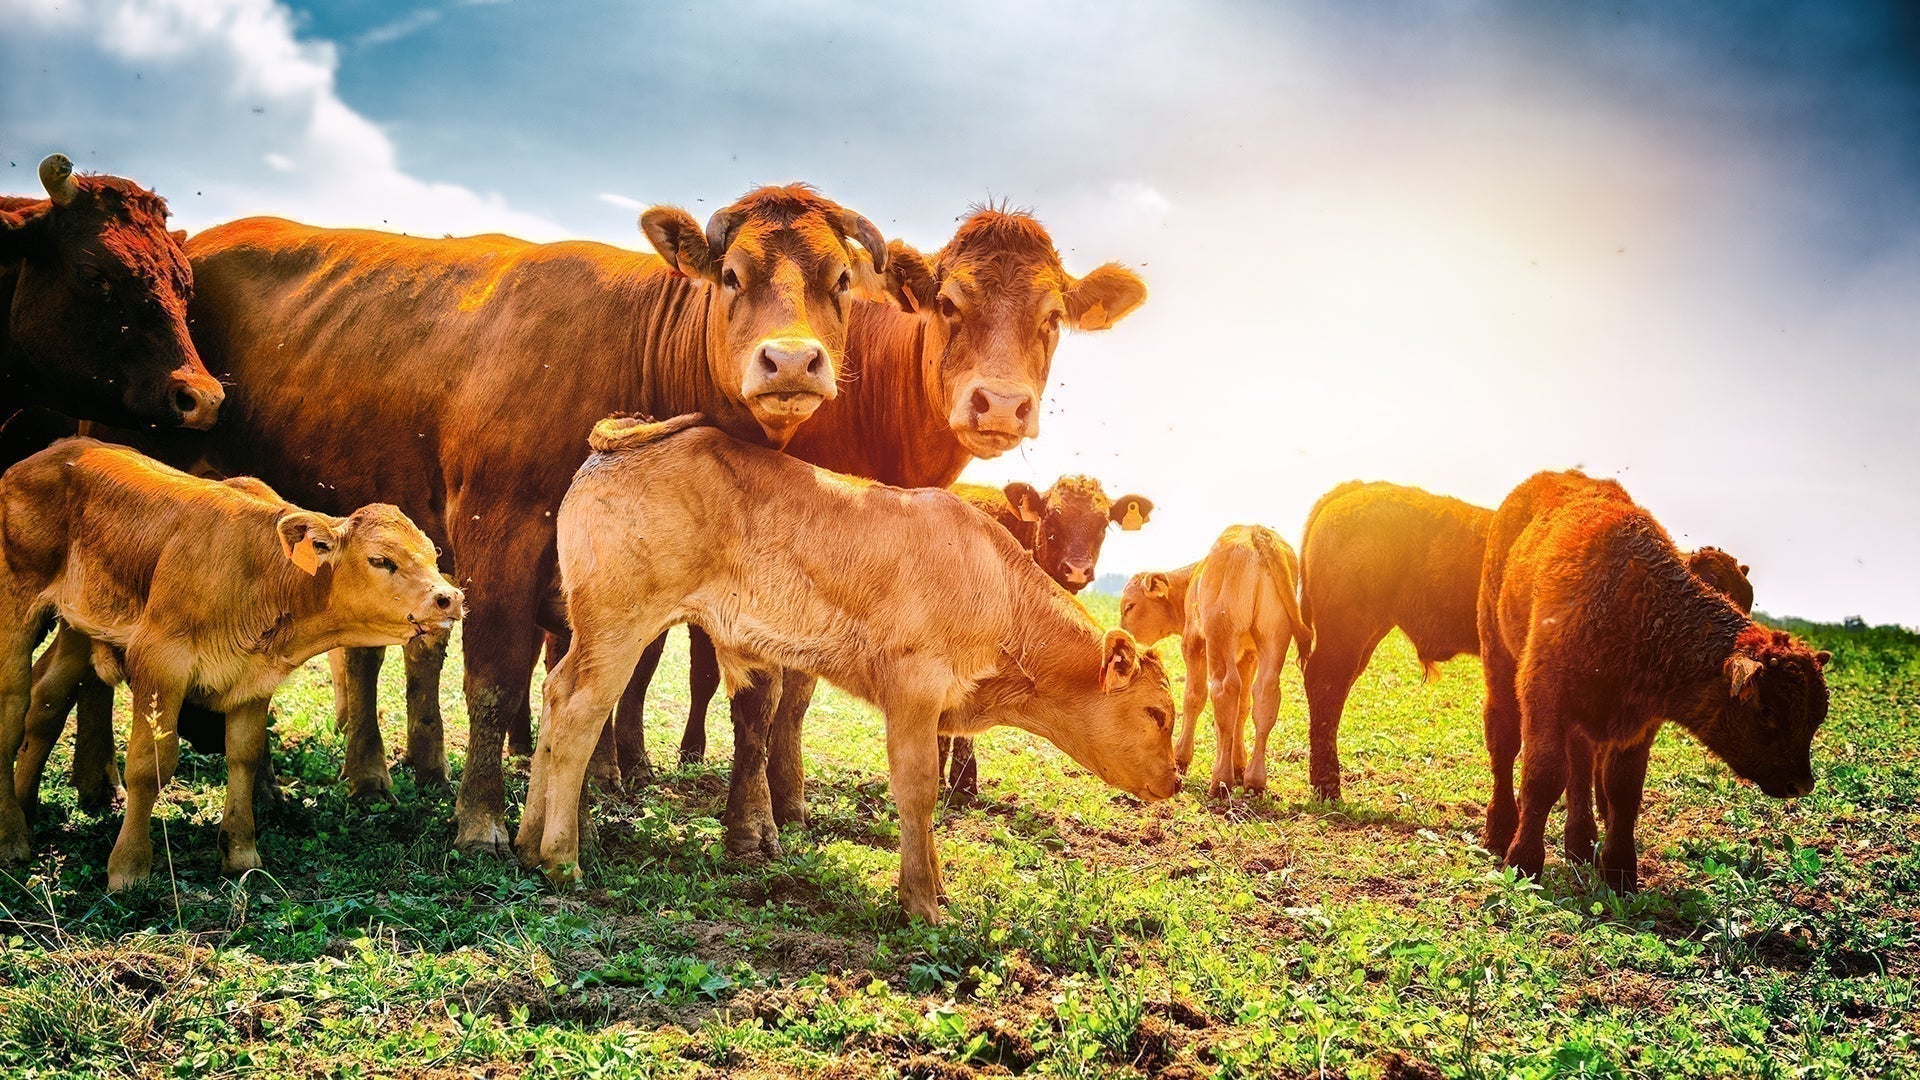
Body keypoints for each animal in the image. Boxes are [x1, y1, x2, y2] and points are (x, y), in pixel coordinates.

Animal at [0, 439, 461, 887]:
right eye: (380, 560)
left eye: (433, 557)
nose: (449, 598)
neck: (254, 570)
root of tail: (43, 457)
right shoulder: (158, 663)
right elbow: (149, 765)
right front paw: (128, 867)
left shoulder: (255, 680)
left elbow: (243, 757)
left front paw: (240, 853)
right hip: (16, 614)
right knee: (12, 711)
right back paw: (11, 837)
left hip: (78, 627)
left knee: (45, 703)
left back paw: (25, 809)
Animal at [1120, 525, 1312, 797]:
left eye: (1129, 605)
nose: (1123, 637)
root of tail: (1254, 532)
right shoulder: (1248, 655)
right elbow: (1242, 708)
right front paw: (1239, 764)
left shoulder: (1193, 643)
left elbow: (1194, 697)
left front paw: (1181, 758)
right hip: (1273, 637)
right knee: (1264, 695)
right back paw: (1254, 779)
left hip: (1220, 636)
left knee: (1224, 689)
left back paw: (1220, 780)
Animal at [1478, 470, 1826, 891]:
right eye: (1767, 709)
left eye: (1816, 717)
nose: (1800, 784)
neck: (1642, 608)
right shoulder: (1544, 693)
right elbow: (1543, 776)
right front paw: (1523, 863)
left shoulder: (1638, 722)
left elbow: (1622, 788)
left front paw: (1620, 873)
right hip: (1498, 657)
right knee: (1504, 741)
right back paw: (1500, 830)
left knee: (1580, 764)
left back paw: (1581, 844)